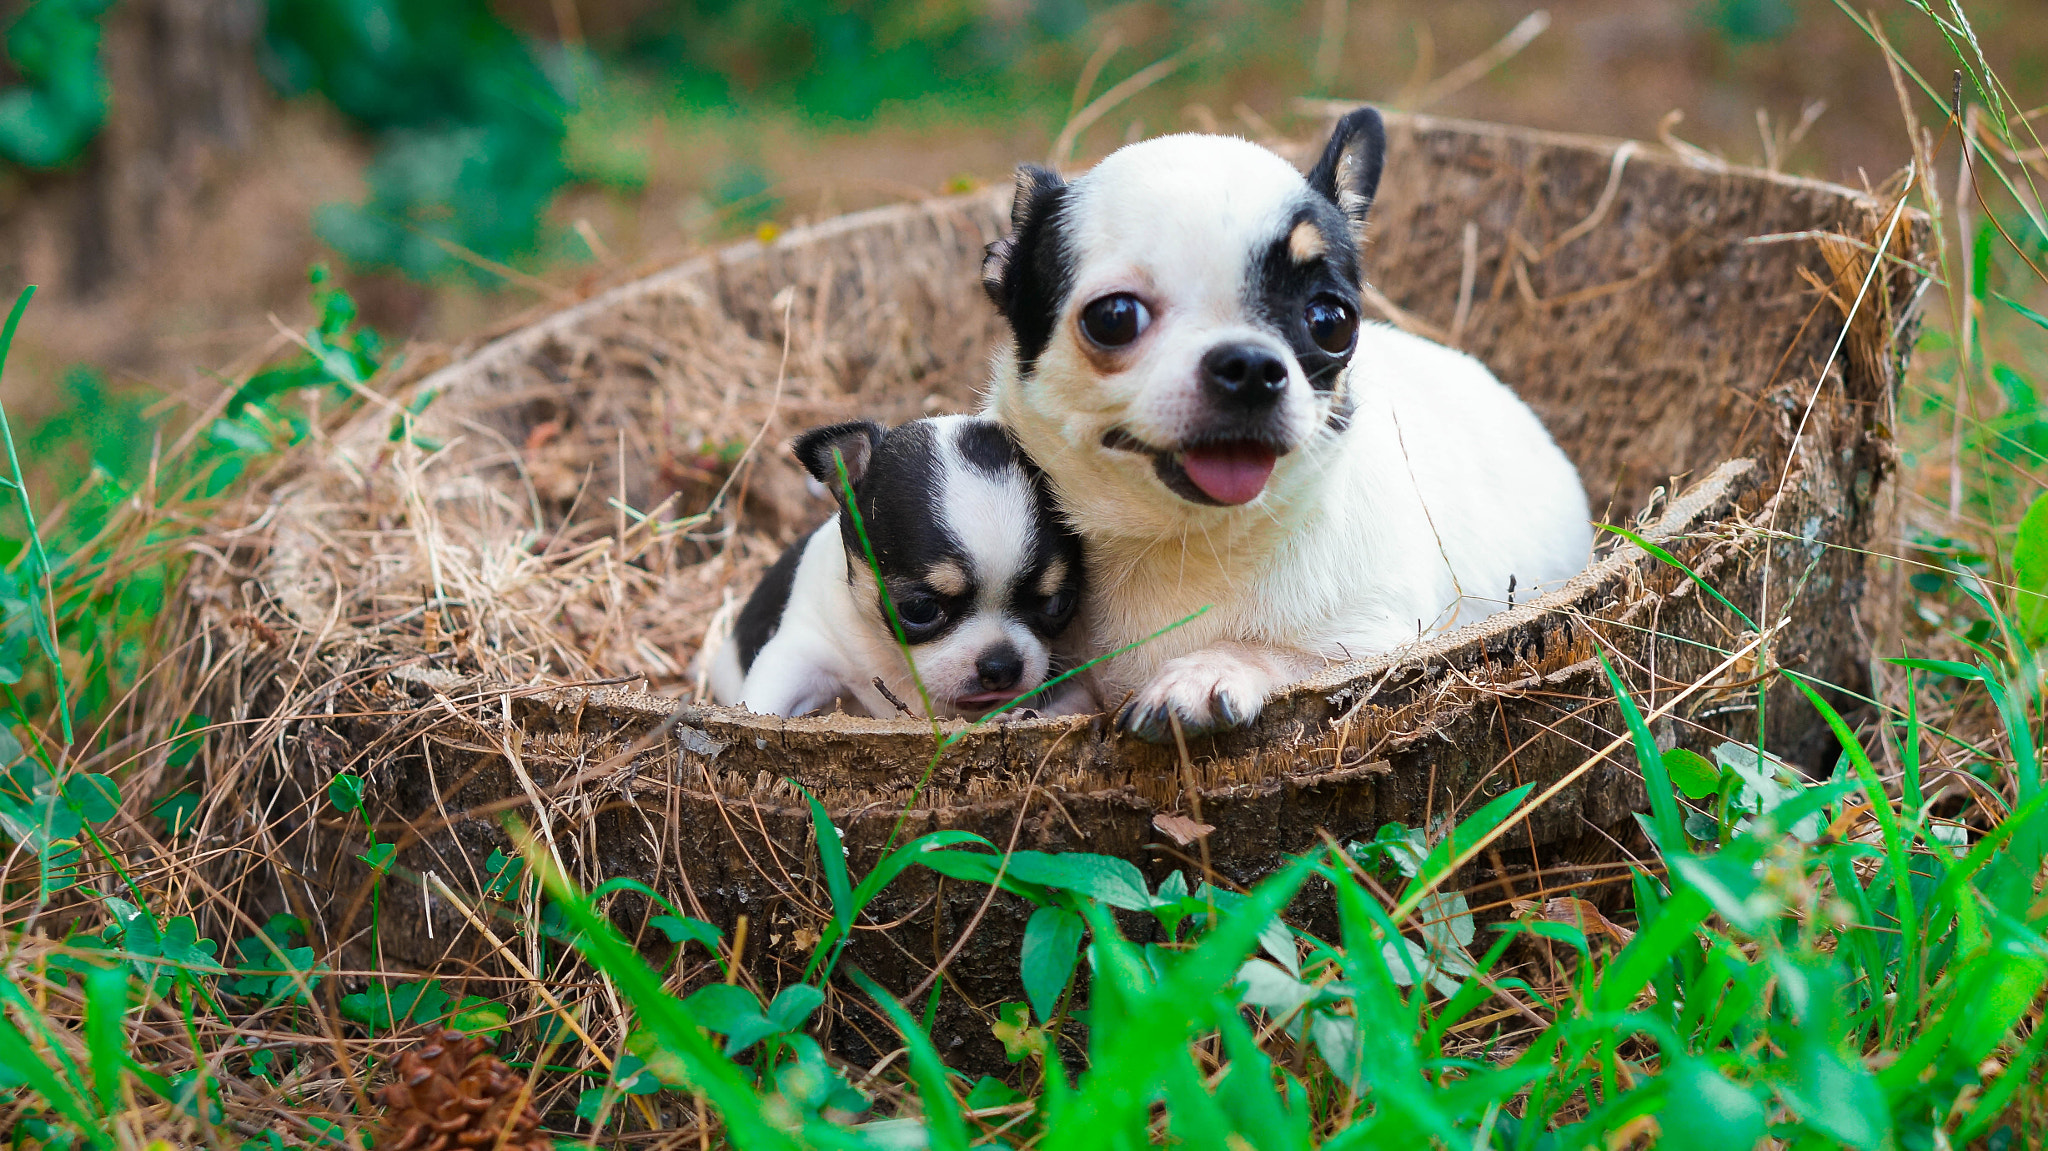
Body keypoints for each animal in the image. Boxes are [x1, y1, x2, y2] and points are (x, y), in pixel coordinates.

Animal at [983, 107, 1589, 733]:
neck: (1188, 542)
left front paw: (1205, 672)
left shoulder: (1378, 648)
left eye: (1331, 321)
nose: (1249, 366)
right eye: (1113, 317)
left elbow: (1281, 653)